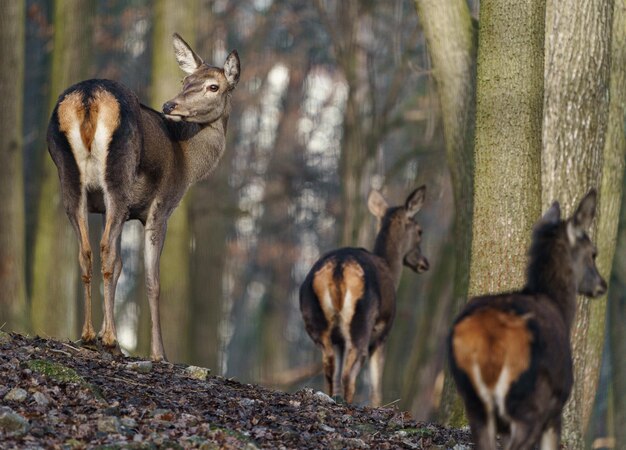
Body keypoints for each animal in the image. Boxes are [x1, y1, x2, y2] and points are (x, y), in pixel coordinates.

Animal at [46, 32, 240, 362]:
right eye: (186, 79)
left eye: (213, 86)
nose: (170, 104)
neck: (187, 163)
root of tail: (88, 97)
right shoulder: (161, 206)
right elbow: (152, 281)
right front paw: (159, 353)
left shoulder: (120, 212)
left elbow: (120, 265)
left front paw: (104, 334)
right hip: (118, 175)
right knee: (103, 249)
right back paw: (110, 340)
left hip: (69, 178)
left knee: (86, 251)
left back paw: (89, 336)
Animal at [298, 186, 428, 404]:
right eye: (419, 231)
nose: (425, 263)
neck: (391, 270)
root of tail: (338, 268)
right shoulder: (383, 333)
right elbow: (376, 386)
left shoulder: (340, 341)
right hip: (361, 320)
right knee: (348, 374)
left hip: (315, 320)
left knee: (330, 368)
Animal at [448, 188, 604, 448]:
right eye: (593, 253)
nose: (602, 285)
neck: (560, 308)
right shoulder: (555, 407)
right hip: (529, 402)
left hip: (474, 402)